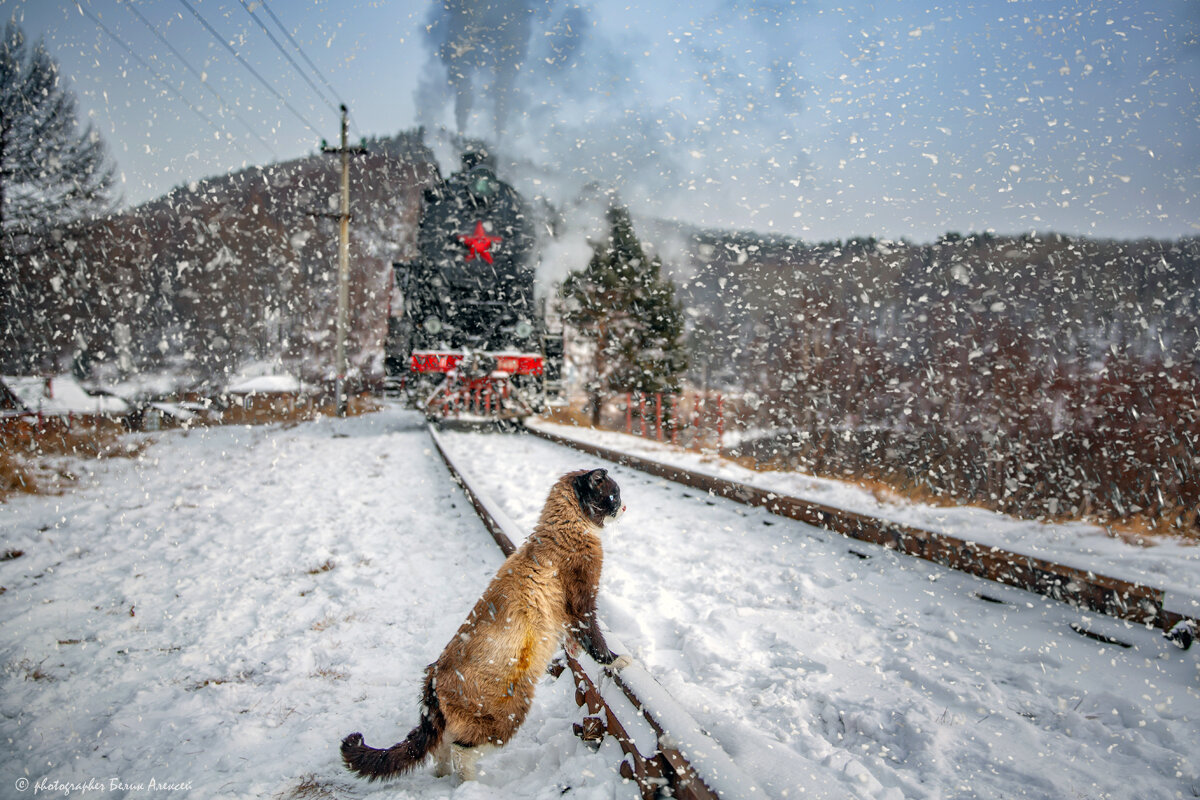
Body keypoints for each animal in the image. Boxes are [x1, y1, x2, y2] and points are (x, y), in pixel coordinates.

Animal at [340, 470, 628, 782]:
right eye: (614, 495)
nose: (624, 507)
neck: (566, 528)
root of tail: (432, 676)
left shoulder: (570, 614)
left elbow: (574, 640)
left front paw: (576, 652)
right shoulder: (582, 602)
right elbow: (596, 640)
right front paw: (618, 661)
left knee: (440, 746)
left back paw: (443, 776)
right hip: (508, 716)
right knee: (461, 749)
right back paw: (470, 783)